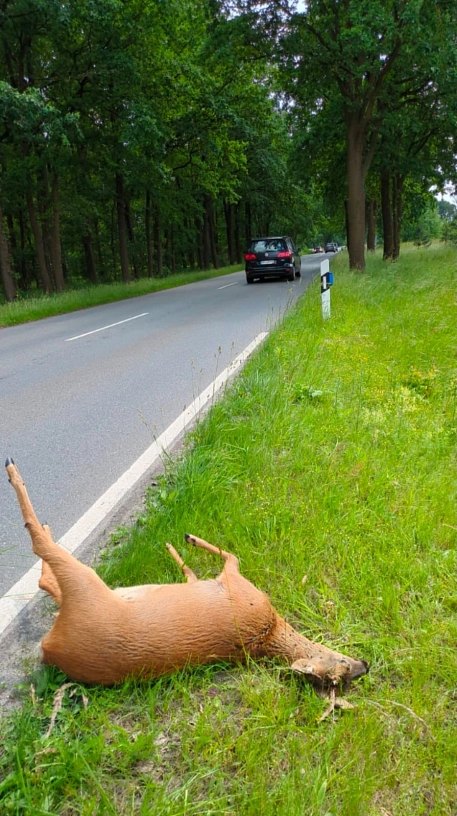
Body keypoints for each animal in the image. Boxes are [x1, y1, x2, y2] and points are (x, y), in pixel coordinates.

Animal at [5, 458, 368, 702]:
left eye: (336, 677)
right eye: (341, 668)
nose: (364, 664)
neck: (269, 631)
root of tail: (50, 648)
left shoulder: (235, 582)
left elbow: (228, 555)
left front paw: (187, 538)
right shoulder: (229, 583)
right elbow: (200, 568)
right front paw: (179, 544)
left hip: (85, 586)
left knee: (42, 549)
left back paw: (15, 477)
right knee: (46, 572)